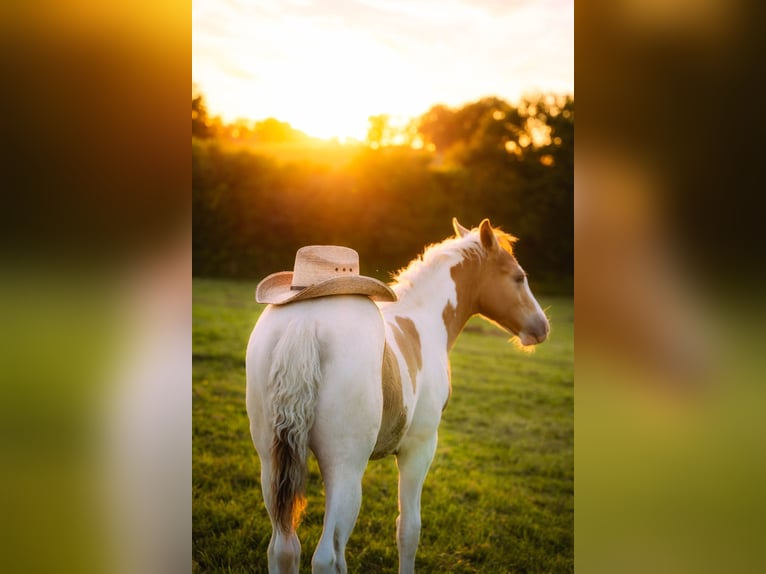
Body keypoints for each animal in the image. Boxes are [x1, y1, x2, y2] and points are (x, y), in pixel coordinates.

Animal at [246, 218, 552, 572]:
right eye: (518, 277)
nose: (541, 327)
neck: (424, 322)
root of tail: (304, 323)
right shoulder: (418, 449)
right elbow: (408, 529)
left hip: (271, 464)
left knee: (284, 549)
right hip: (345, 469)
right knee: (325, 557)